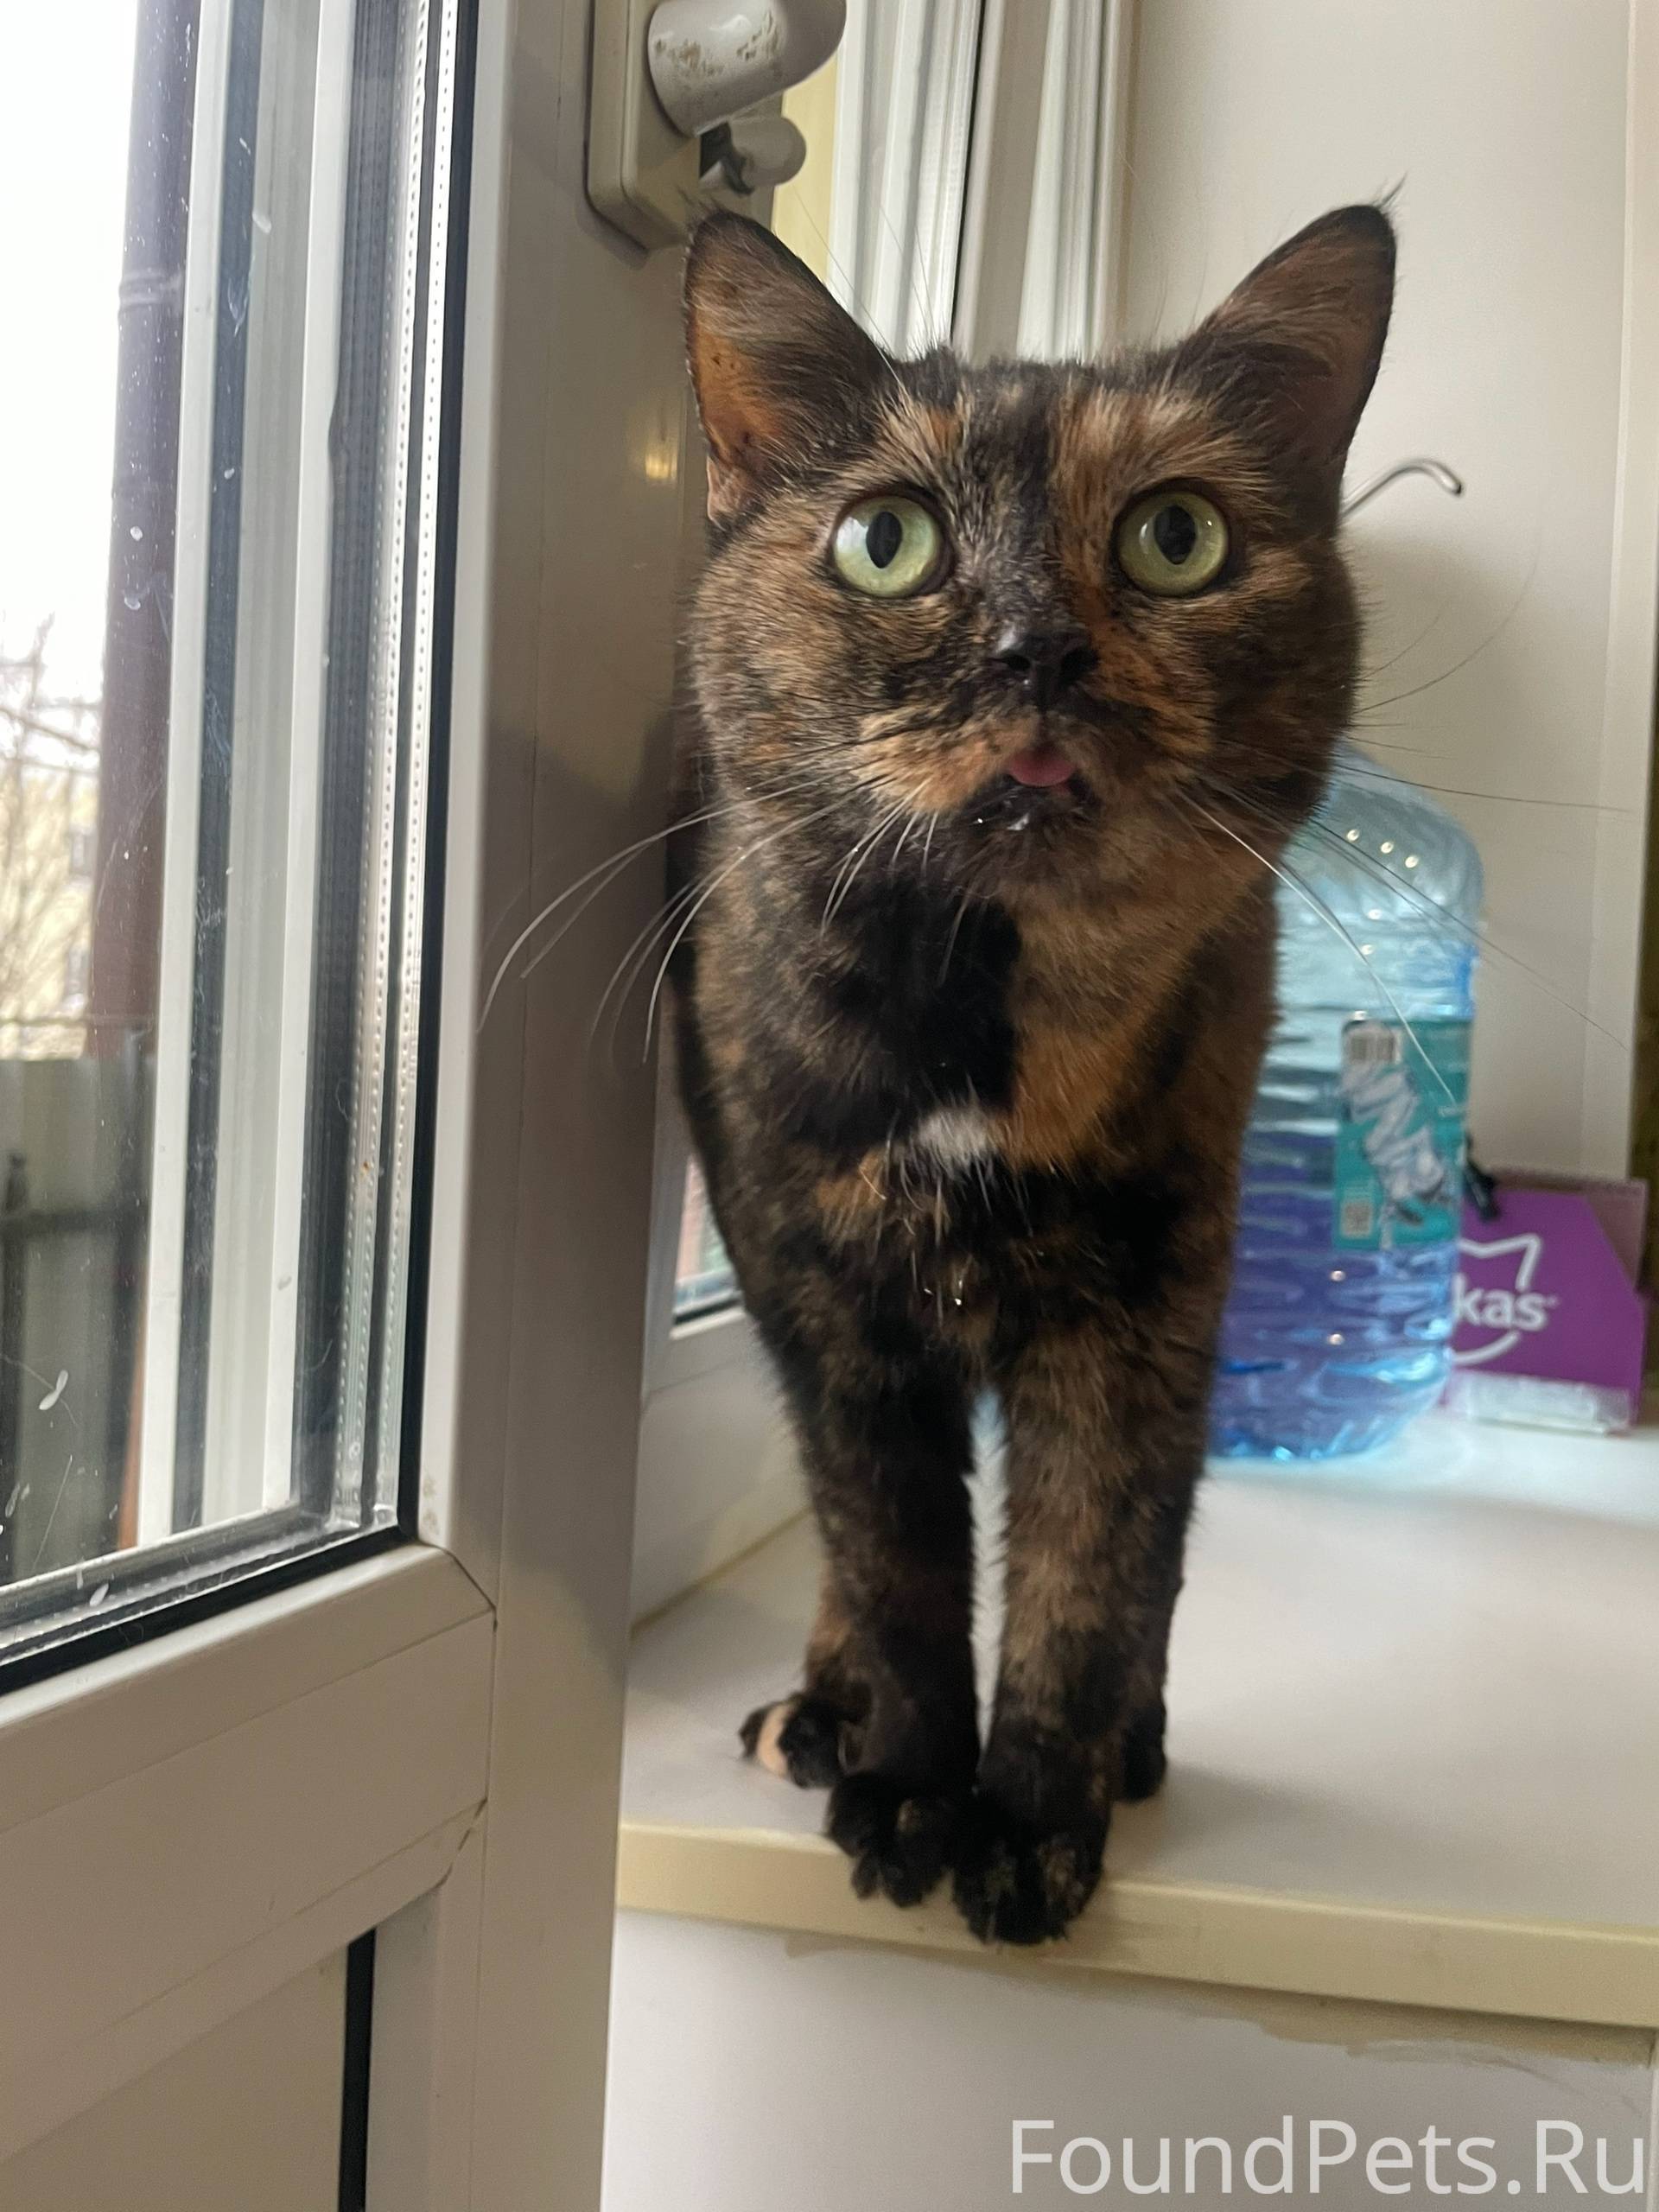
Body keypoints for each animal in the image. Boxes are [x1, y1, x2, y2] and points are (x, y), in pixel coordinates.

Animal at [670, 204, 1394, 1944]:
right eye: (888, 542)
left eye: (1177, 539)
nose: (1036, 649)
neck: (986, 1032)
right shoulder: (828, 1311)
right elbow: (900, 1568)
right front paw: (910, 1790)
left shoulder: (1144, 1310)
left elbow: (1090, 1569)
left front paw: (1037, 1824)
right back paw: (823, 1713)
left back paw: (1131, 1744)